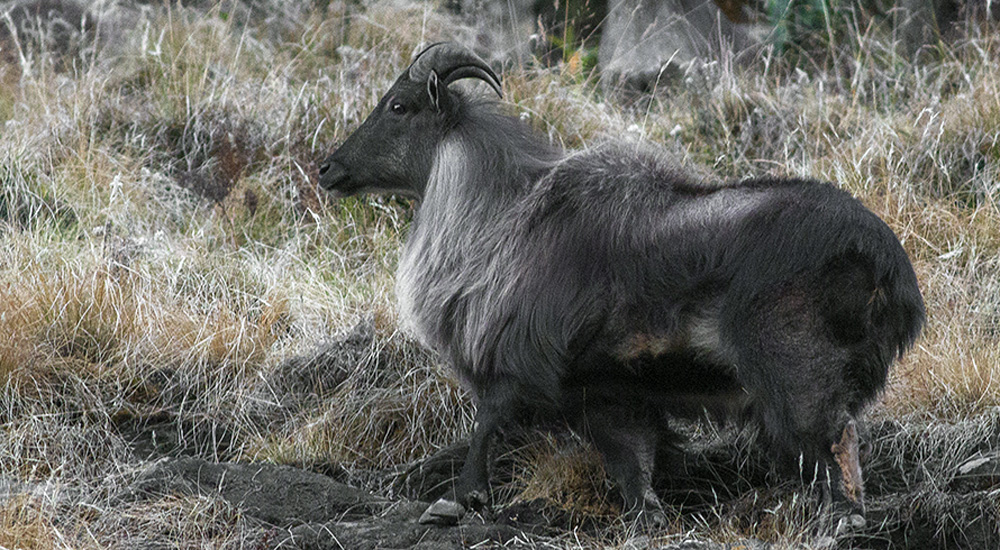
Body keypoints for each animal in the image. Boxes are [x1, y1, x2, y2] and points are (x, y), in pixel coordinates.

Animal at [316, 42, 924, 528]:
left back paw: (844, 519)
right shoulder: (611, 391)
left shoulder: (524, 360)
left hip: (796, 368)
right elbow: (633, 468)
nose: (328, 169)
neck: (501, 218)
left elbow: (488, 419)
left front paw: (461, 499)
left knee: (836, 438)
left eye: (399, 105)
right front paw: (646, 516)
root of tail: (886, 264)